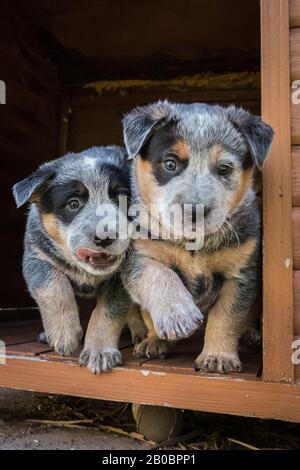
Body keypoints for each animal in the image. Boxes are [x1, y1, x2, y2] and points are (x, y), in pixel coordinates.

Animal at [12, 147, 146, 374]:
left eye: (123, 198)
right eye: (73, 203)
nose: (104, 237)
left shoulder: (121, 277)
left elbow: (108, 312)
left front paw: (99, 351)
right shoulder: (36, 257)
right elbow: (53, 287)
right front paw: (63, 334)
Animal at [120, 101, 274, 372]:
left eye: (224, 169)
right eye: (170, 164)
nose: (196, 210)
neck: (194, 245)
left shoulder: (240, 273)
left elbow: (226, 316)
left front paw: (218, 356)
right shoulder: (141, 257)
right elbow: (160, 278)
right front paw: (170, 323)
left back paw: (251, 335)